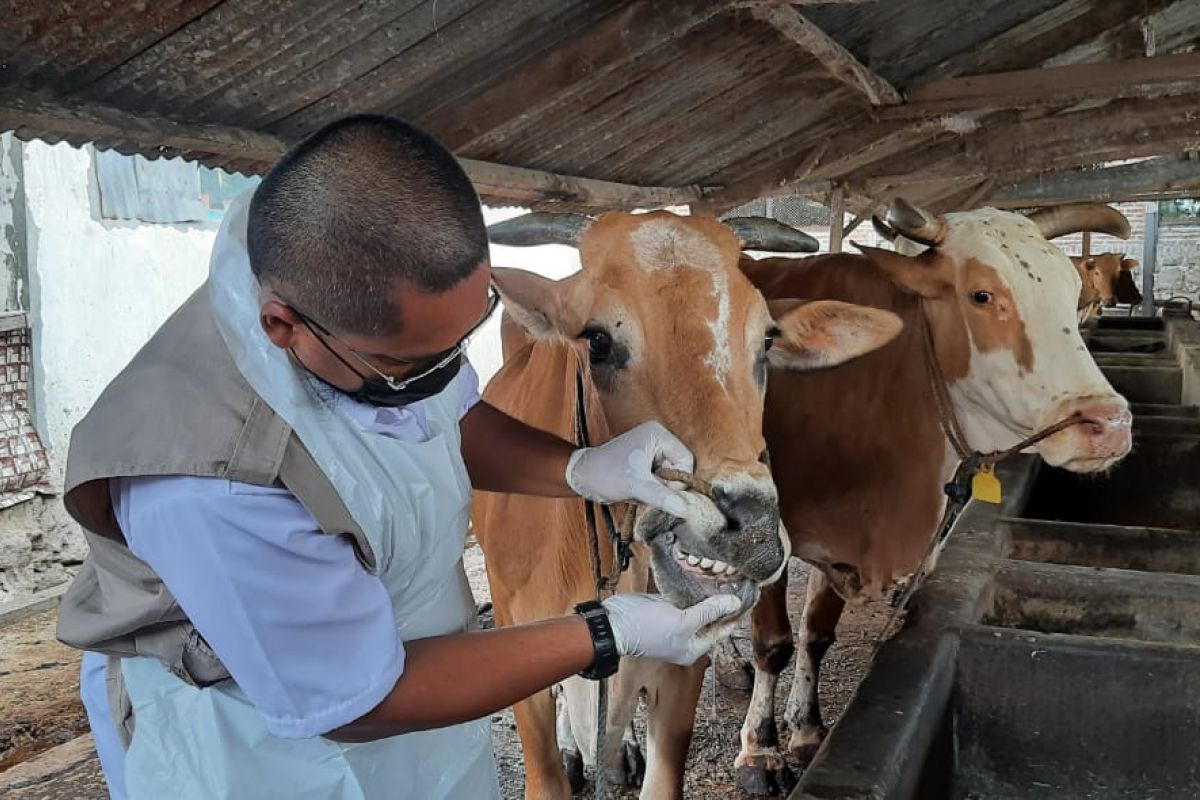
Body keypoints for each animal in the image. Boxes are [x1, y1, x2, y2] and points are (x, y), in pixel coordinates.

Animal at [729, 199, 1132, 796]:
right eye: (981, 295)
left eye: (1071, 290)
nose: (1108, 425)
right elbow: (774, 643)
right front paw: (761, 752)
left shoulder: (839, 543)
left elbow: (816, 635)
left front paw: (805, 731)